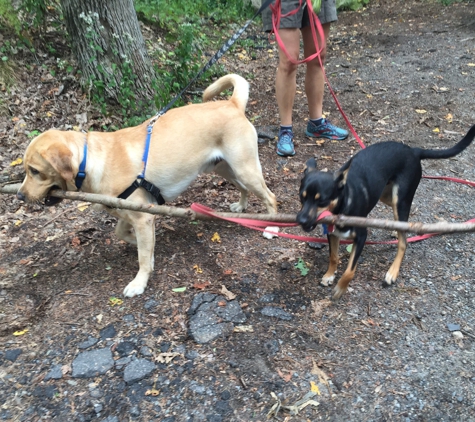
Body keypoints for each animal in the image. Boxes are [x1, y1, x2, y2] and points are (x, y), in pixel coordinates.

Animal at [17, 73, 278, 296]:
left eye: (35, 171)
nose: (19, 196)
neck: (90, 161)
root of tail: (232, 104)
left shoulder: (143, 218)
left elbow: (142, 256)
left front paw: (139, 282)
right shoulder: (131, 213)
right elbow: (124, 235)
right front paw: (147, 251)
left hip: (245, 169)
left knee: (270, 197)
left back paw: (272, 227)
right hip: (225, 169)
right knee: (244, 189)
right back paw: (241, 207)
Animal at [298, 125, 475, 300]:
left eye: (322, 201)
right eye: (301, 197)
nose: (301, 220)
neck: (344, 205)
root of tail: (412, 150)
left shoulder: (361, 237)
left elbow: (350, 271)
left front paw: (341, 288)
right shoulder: (332, 234)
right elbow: (333, 257)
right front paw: (329, 275)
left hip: (400, 201)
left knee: (403, 241)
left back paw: (392, 272)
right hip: (386, 195)